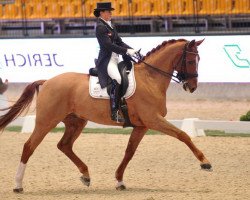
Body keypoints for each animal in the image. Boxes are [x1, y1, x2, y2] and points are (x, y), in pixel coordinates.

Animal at [0, 38, 212, 192]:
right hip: (47, 121)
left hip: (76, 122)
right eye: (191, 60)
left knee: (64, 145)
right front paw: (205, 163)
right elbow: (183, 135)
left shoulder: (142, 126)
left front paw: (119, 181)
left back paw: (86, 176)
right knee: (29, 146)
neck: (150, 79)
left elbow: (129, 152)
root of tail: (48, 81)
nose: (192, 87)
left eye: (199, 60)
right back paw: (18, 185)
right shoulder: (153, 120)